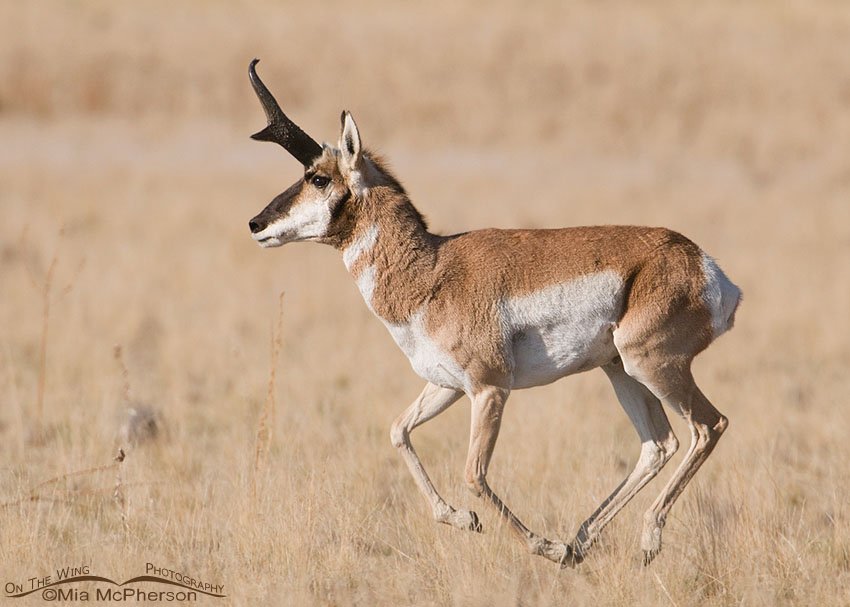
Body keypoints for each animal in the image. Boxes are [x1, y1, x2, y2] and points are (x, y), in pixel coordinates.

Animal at [245, 59, 741, 567]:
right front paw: (465, 520)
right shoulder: (446, 386)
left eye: (318, 177)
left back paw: (639, 539)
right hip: (619, 370)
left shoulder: (489, 389)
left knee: (709, 426)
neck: (434, 270)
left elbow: (473, 475)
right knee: (658, 445)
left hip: (651, 365)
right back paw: (577, 544)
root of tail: (702, 263)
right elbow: (398, 431)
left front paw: (539, 543)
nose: (256, 224)